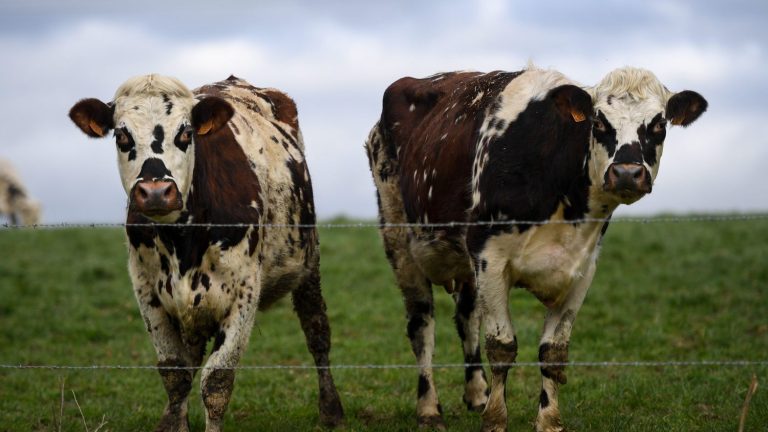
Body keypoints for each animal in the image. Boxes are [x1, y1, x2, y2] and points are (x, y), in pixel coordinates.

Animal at [69, 75, 344, 432]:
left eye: (185, 133)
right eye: (122, 135)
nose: (155, 191)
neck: (182, 240)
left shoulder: (244, 293)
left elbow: (217, 381)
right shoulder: (147, 292)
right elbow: (176, 374)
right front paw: (174, 422)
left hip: (308, 264)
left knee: (317, 331)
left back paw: (331, 409)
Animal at [366, 65, 708, 432]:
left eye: (659, 124)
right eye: (598, 122)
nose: (627, 173)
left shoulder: (582, 267)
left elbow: (553, 352)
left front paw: (547, 420)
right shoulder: (489, 257)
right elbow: (502, 347)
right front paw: (496, 420)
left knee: (466, 317)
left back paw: (477, 394)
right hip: (399, 239)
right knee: (421, 325)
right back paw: (429, 409)